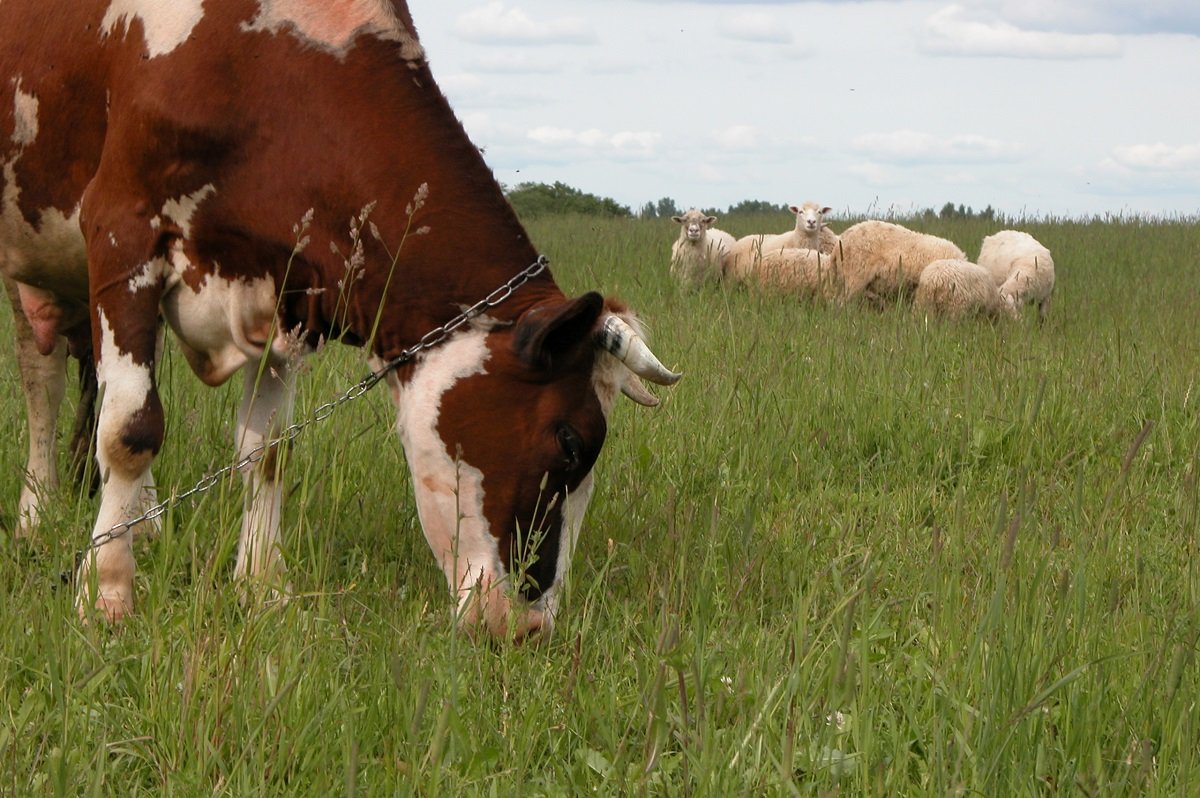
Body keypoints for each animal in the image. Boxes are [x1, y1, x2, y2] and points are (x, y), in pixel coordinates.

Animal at [0, 1, 681, 643]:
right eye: (569, 442)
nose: (530, 630)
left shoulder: (283, 290)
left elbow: (268, 450)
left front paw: (263, 587)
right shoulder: (122, 232)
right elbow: (131, 429)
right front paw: (106, 593)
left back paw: (144, 521)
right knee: (43, 382)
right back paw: (37, 515)